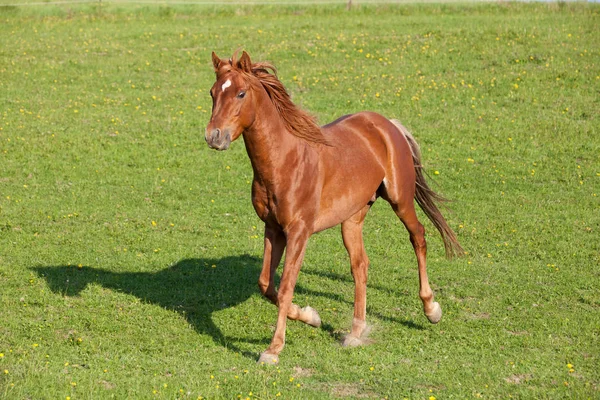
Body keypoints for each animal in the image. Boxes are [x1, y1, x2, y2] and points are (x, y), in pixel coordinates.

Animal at [204, 51, 462, 364]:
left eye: (241, 93)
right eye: (213, 92)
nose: (214, 137)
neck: (285, 161)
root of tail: (387, 124)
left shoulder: (299, 233)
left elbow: (286, 287)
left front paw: (273, 349)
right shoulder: (273, 229)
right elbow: (266, 284)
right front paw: (311, 316)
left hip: (401, 201)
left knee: (419, 237)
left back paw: (431, 309)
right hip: (352, 219)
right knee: (360, 265)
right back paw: (355, 332)